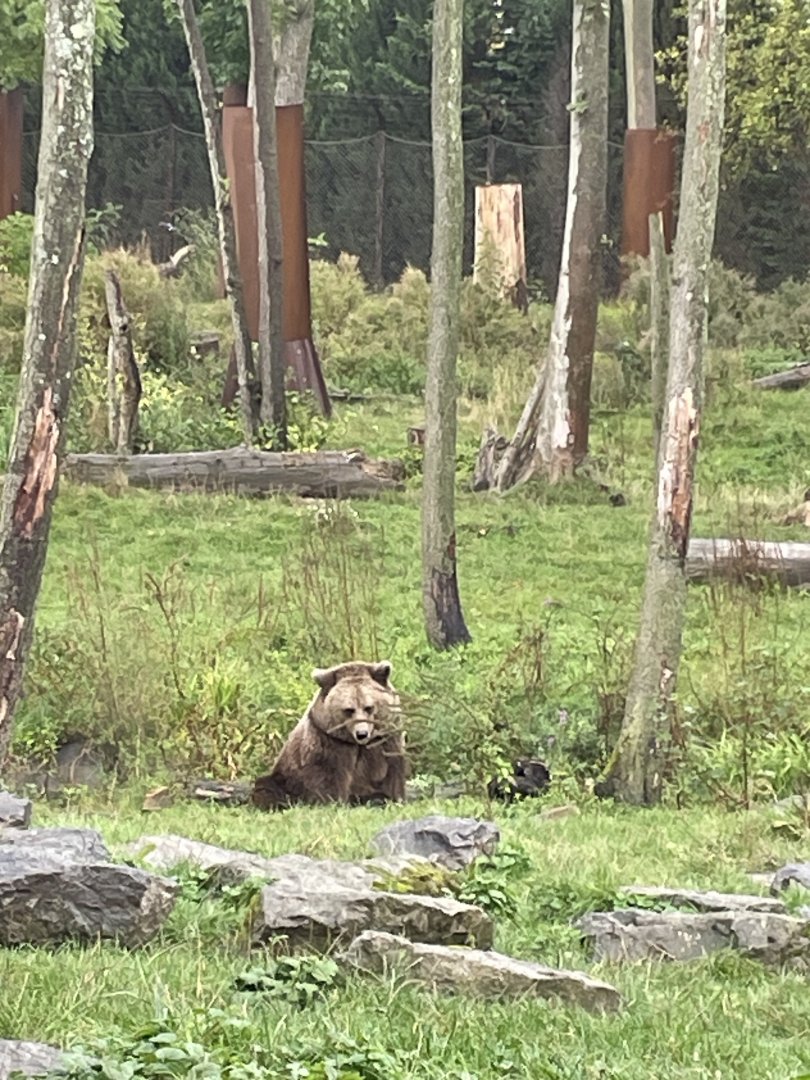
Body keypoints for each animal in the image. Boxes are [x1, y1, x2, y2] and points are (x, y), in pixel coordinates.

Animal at [252, 660, 407, 810]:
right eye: (349, 710)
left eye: (368, 707)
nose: (362, 734)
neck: (354, 743)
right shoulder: (328, 740)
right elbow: (328, 780)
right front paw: (334, 802)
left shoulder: (385, 739)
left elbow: (389, 774)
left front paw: (387, 797)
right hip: (286, 778)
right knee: (267, 788)